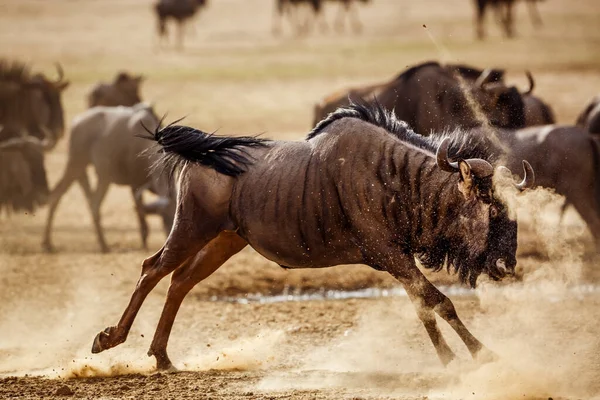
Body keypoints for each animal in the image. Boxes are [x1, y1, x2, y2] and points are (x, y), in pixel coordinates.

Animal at [42, 103, 176, 253]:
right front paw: (144, 243)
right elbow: (140, 214)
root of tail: (77, 122)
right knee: (63, 197)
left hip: (87, 173)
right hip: (78, 166)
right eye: (164, 218)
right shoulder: (134, 185)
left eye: (175, 216)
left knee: (88, 201)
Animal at [90, 101, 536, 370]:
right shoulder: (390, 256)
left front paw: (448, 360)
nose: (506, 265)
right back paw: (110, 339)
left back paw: (162, 357)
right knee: (152, 269)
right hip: (191, 228)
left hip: (225, 240)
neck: (395, 180)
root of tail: (200, 156)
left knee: (180, 281)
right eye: (491, 206)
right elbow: (439, 302)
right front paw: (481, 354)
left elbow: (424, 307)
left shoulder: (398, 261)